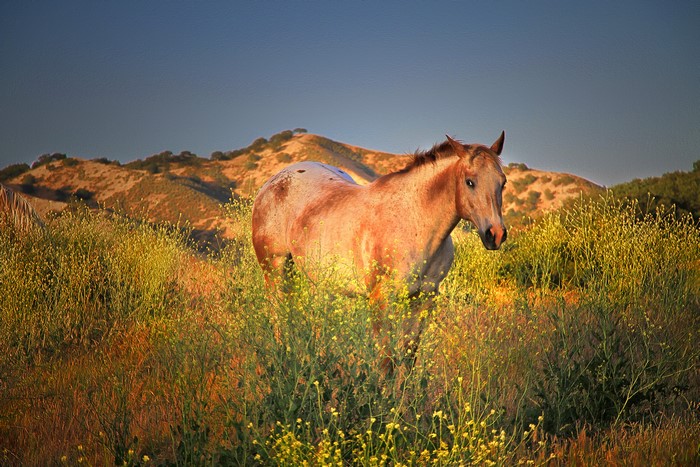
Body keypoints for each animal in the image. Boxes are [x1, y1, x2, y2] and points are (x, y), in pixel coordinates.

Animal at [251, 132, 507, 368]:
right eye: (469, 181)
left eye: (502, 182)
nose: (495, 234)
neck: (413, 220)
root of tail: (273, 182)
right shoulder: (381, 299)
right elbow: (385, 360)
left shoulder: (423, 299)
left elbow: (408, 356)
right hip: (274, 269)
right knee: (278, 315)